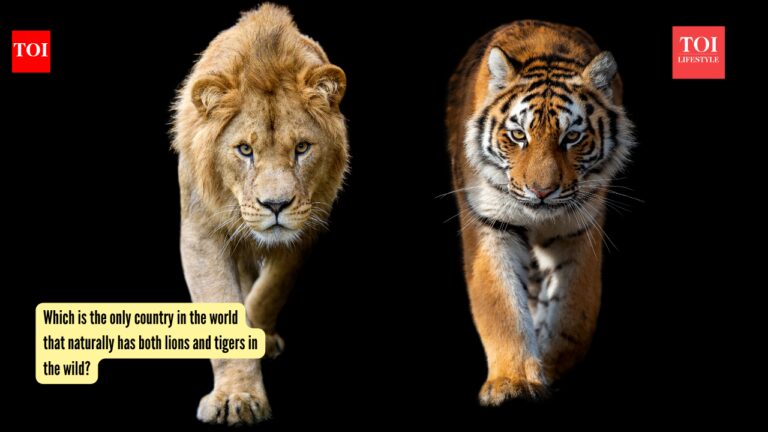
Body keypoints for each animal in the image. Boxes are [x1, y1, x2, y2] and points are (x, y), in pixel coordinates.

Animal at [171, 4, 347, 425]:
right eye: (245, 150)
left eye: (302, 148)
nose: (276, 205)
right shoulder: (201, 232)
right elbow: (221, 302)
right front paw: (238, 397)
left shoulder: (307, 224)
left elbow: (271, 290)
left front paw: (257, 335)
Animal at [446, 20, 635, 405]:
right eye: (518, 135)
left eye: (572, 137)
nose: (542, 191)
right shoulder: (491, 225)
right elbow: (501, 308)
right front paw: (513, 382)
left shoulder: (579, 227)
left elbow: (575, 313)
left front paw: (550, 368)